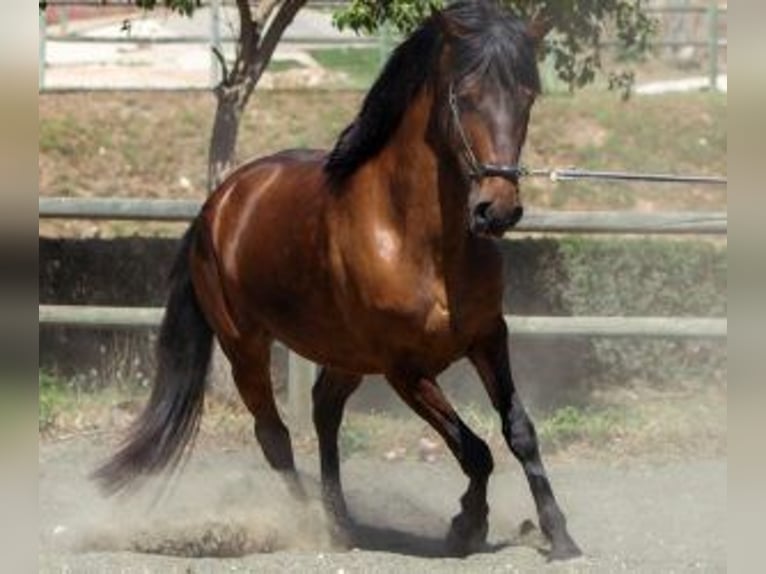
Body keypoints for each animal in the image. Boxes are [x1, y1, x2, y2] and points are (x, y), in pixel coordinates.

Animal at [96, 0, 584, 564]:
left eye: (528, 97)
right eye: (466, 97)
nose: (496, 210)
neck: (418, 241)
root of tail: (220, 202)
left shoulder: (487, 338)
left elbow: (518, 432)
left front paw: (559, 535)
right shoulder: (405, 369)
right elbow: (475, 450)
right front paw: (466, 525)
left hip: (345, 355)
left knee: (324, 412)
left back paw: (341, 521)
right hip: (246, 348)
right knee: (275, 435)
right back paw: (313, 525)